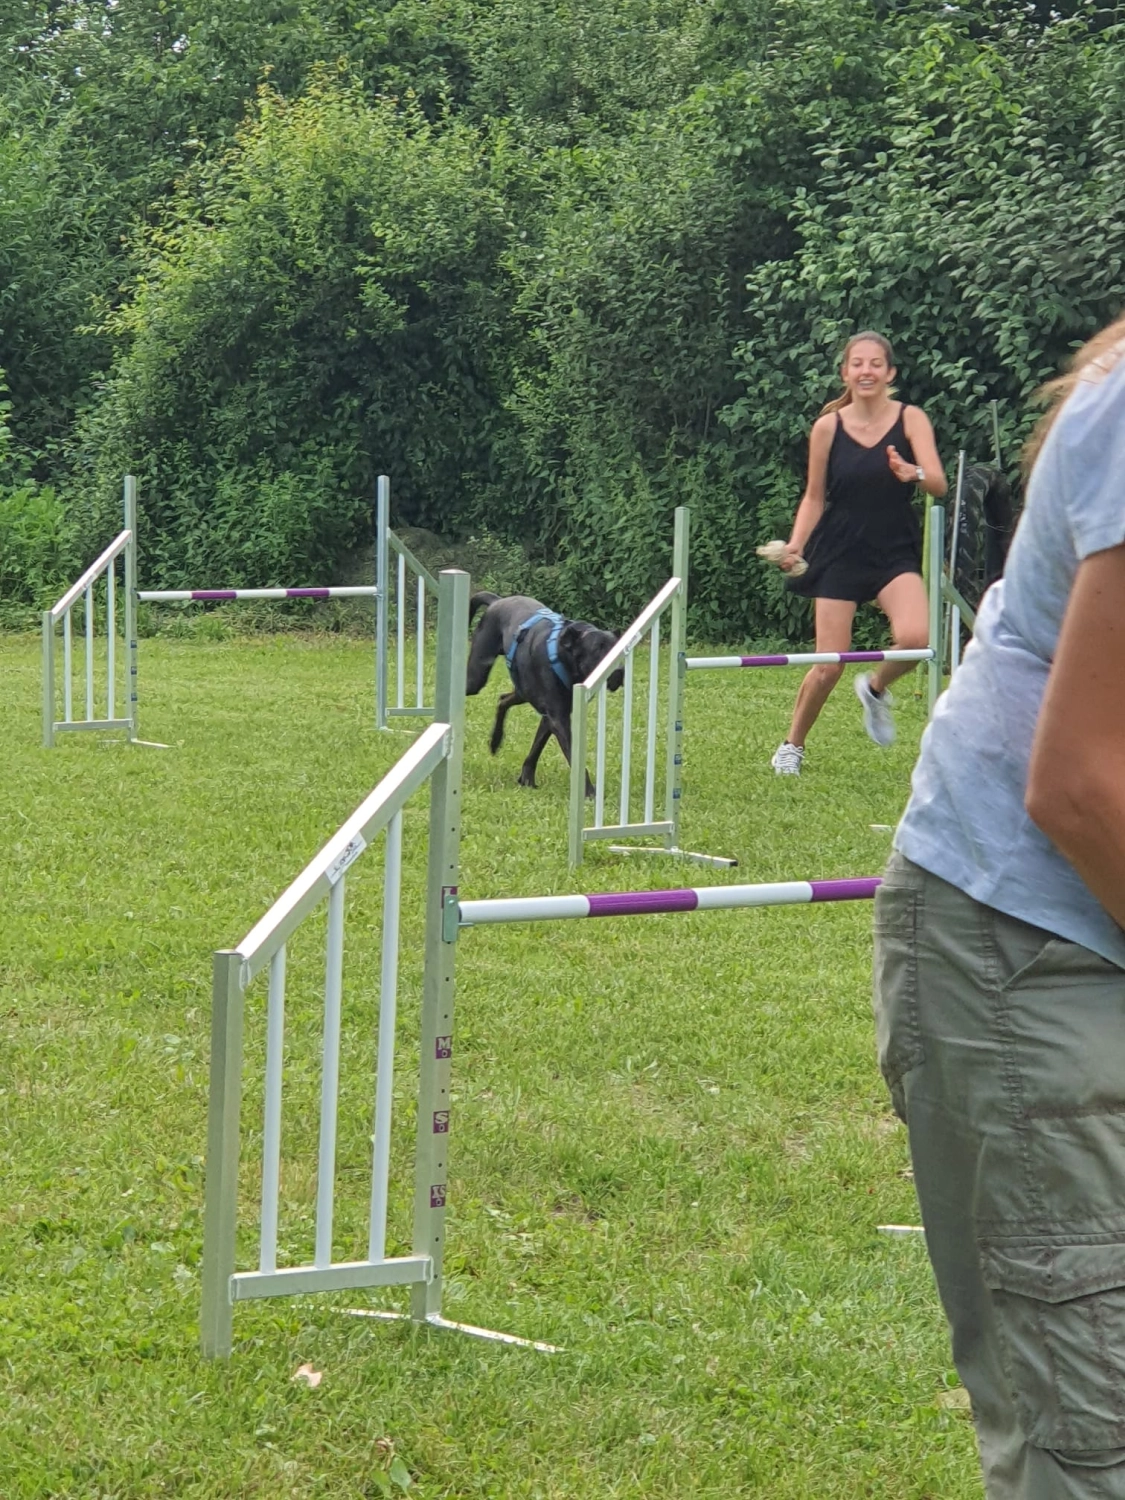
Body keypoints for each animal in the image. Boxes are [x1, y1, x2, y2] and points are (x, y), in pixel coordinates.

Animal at [465, 591, 627, 798]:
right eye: (598, 650)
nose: (620, 671)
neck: (563, 655)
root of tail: (496, 601)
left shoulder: (552, 716)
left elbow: (536, 747)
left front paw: (526, 779)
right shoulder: (558, 718)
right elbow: (574, 756)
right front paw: (589, 792)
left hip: (523, 690)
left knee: (502, 700)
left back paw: (495, 740)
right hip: (476, 677)